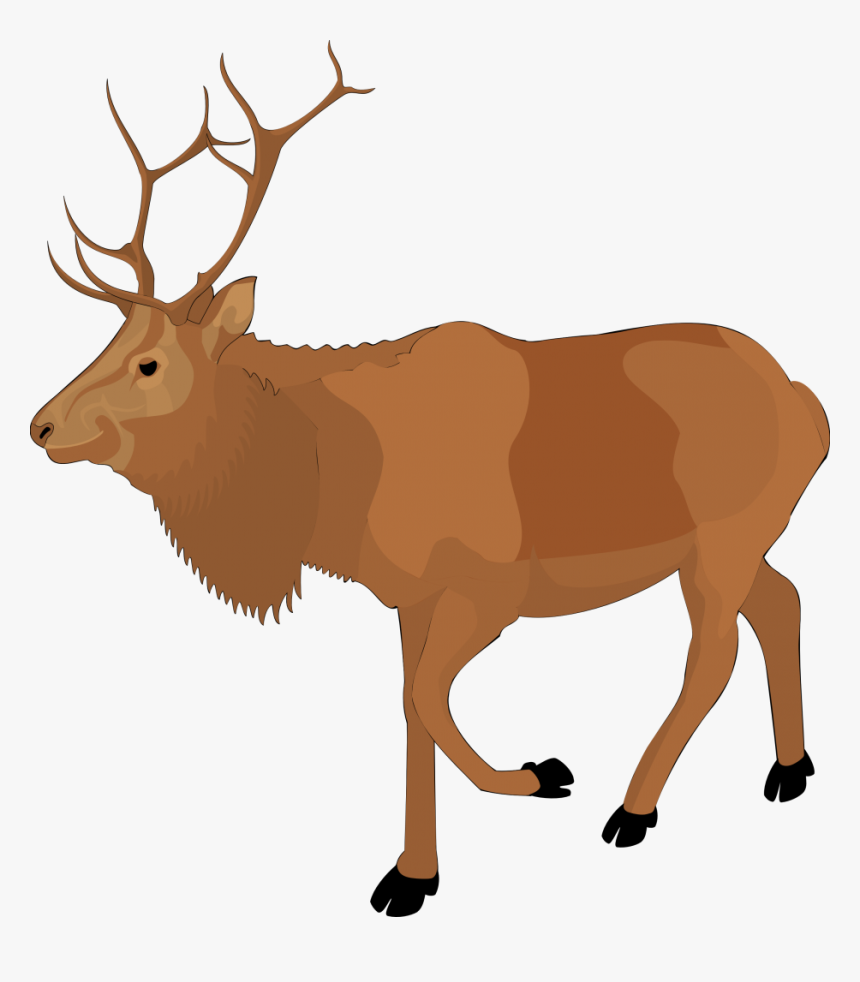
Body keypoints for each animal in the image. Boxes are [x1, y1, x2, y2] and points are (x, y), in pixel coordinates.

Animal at [30, 45, 829, 917]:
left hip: (720, 539)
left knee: (712, 654)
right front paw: (412, 876)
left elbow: (427, 702)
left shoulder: (491, 586)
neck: (332, 486)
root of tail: (809, 405)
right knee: (782, 601)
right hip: (728, 545)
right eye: (108, 342)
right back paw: (790, 768)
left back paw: (634, 807)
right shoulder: (408, 596)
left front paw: (541, 774)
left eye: (149, 363)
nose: (39, 426)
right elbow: (410, 708)